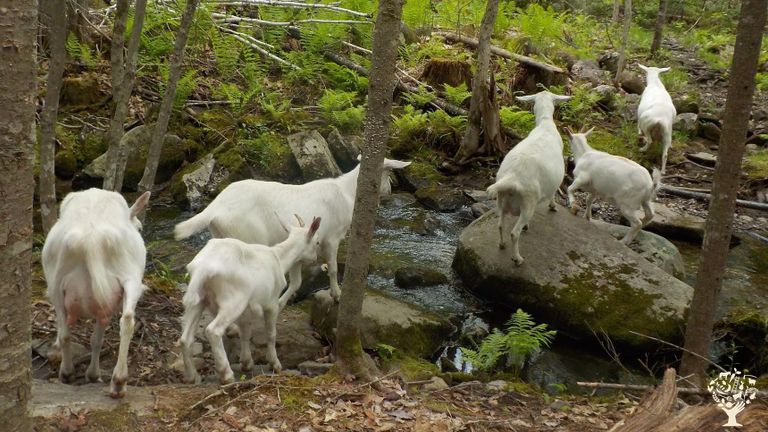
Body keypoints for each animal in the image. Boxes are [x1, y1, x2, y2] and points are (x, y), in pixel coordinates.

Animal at [42, 188, 150, 398]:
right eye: (141, 229)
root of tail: (91, 240)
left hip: (56, 283)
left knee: (67, 332)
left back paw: (70, 373)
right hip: (129, 278)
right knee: (126, 320)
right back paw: (118, 382)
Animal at [174, 158, 411, 307]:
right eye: (389, 172)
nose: (389, 190)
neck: (347, 192)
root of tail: (215, 208)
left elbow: (297, 280)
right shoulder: (332, 238)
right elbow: (333, 268)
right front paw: (336, 295)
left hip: (222, 236)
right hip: (248, 236)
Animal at [178, 215, 322, 384]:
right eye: (317, 242)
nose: (315, 259)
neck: (279, 258)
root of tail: (203, 269)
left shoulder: (247, 308)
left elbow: (245, 333)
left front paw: (246, 362)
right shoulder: (271, 303)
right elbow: (271, 333)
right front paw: (275, 364)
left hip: (199, 300)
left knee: (185, 338)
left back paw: (191, 376)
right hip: (234, 300)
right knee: (213, 331)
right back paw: (226, 374)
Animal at [486, 90, 571, 265]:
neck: (545, 123)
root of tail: (511, 177)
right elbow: (553, 193)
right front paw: (553, 206)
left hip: (501, 200)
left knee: (500, 225)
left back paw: (502, 244)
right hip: (528, 203)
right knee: (514, 233)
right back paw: (517, 258)